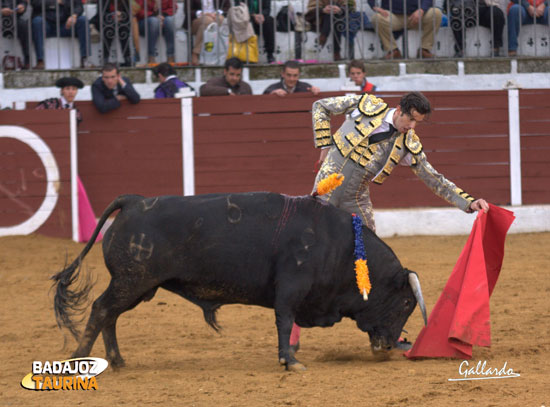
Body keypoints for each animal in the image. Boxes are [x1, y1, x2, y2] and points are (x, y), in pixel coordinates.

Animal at [52, 193, 426, 372]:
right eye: (407, 302)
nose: (391, 344)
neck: (342, 246)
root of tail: (132, 201)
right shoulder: (290, 289)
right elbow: (284, 321)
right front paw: (289, 361)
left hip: (136, 286)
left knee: (110, 315)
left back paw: (116, 360)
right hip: (132, 281)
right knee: (102, 310)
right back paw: (80, 358)